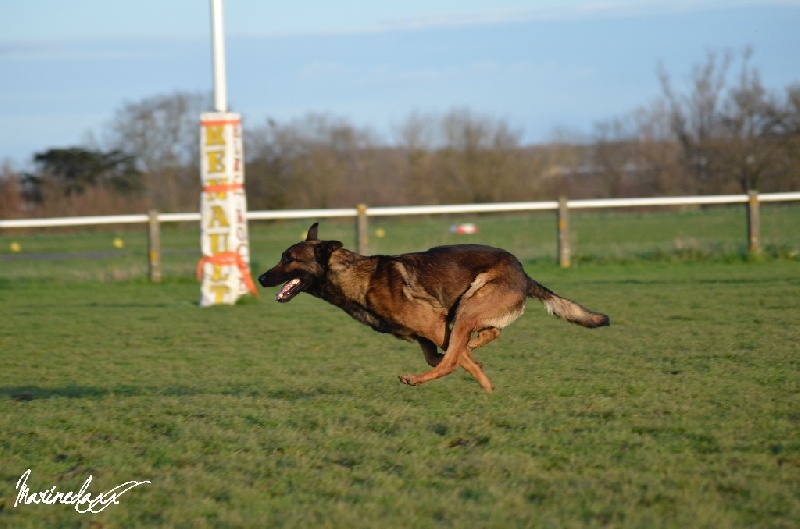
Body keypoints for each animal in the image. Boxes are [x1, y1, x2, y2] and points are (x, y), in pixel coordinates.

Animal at [258, 223, 609, 392]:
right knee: (487, 334)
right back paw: (475, 346)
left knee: (455, 356)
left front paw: (480, 378)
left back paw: (417, 378)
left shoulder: (436, 324)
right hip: (469, 311)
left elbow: (451, 359)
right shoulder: (424, 335)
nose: (260, 278)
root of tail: (522, 270)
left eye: (288, 259)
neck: (359, 278)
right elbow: (442, 356)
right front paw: (482, 376)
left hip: (467, 307)